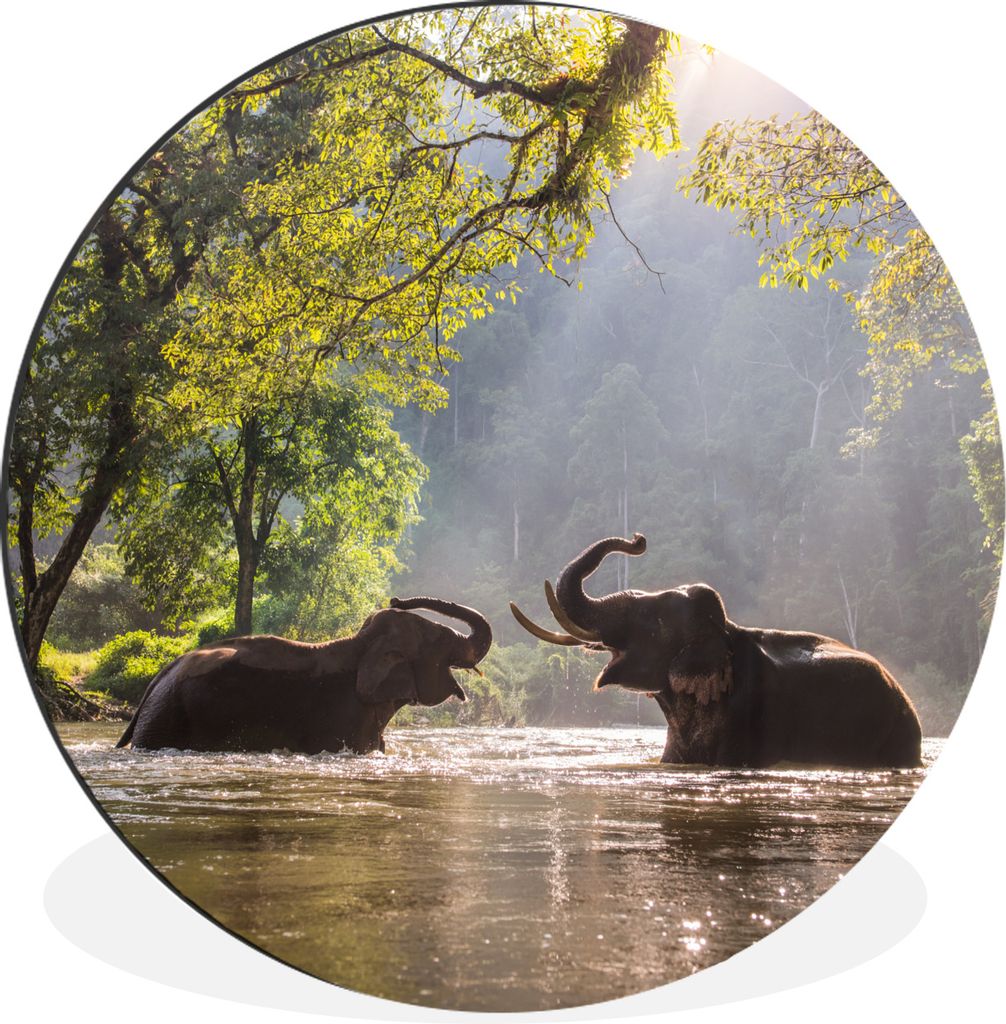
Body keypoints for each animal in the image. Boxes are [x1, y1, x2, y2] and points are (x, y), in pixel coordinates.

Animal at [115, 597, 492, 754]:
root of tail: (159, 677)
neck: (360, 644)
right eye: (440, 640)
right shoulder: (342, 717)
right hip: (167, 719)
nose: (396, 599)